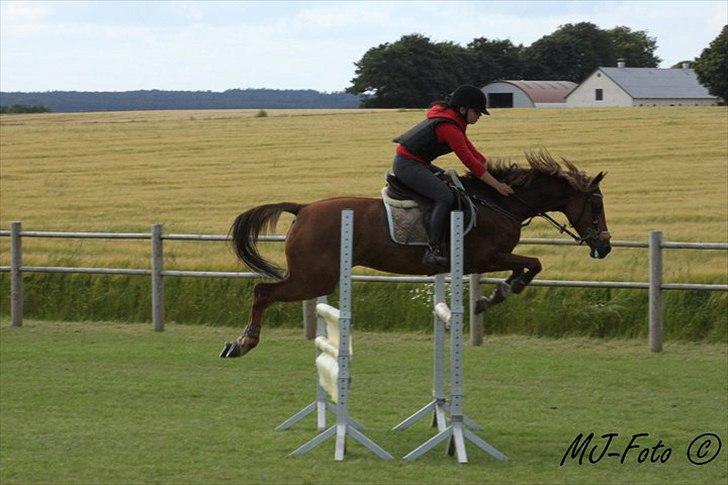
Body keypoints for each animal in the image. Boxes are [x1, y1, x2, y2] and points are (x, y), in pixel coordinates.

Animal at [219, 149, 612, 358]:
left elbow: (527, 268)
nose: (605, 246)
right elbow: (533, 264)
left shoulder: (489, 259)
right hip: (314, 277)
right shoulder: (487, 257)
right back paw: (243, 342)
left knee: (264, 292)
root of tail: (302, 208)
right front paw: (495, 296)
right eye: (596, 206)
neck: (501, 203)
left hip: (314, 277)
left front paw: (493, 296)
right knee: (262, 292)